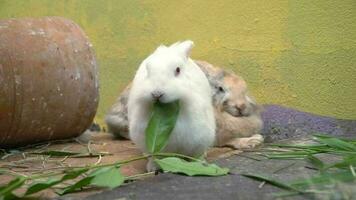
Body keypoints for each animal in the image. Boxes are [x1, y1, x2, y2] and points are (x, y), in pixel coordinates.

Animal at [129, 40, 216, 172]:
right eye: (147, 70)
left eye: (178, 70)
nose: (157, 94)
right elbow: (155, 158)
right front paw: (152, 168)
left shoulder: (200, 138)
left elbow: (196, 155)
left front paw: (200, 164)